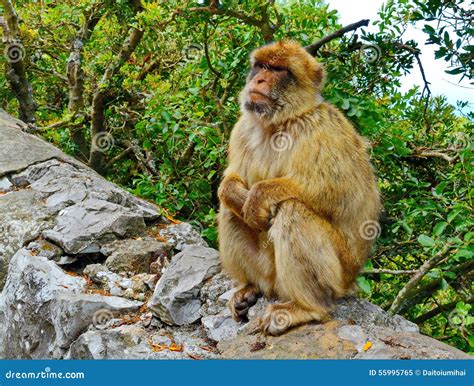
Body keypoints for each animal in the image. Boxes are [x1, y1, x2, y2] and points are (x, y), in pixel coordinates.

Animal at [218, 39, 382, 334]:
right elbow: (232, 178)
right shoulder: (243, 128)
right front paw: (234, 192)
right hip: (268, 272)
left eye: (278, 70)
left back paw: (307, 307)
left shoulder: (320, 129)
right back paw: (249, 287)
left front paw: (260, 195)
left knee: (293, 210)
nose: (258, 80)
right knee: (230, 211)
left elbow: (338, 192)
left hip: (337, 274)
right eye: (261, 66)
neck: (278, 123)